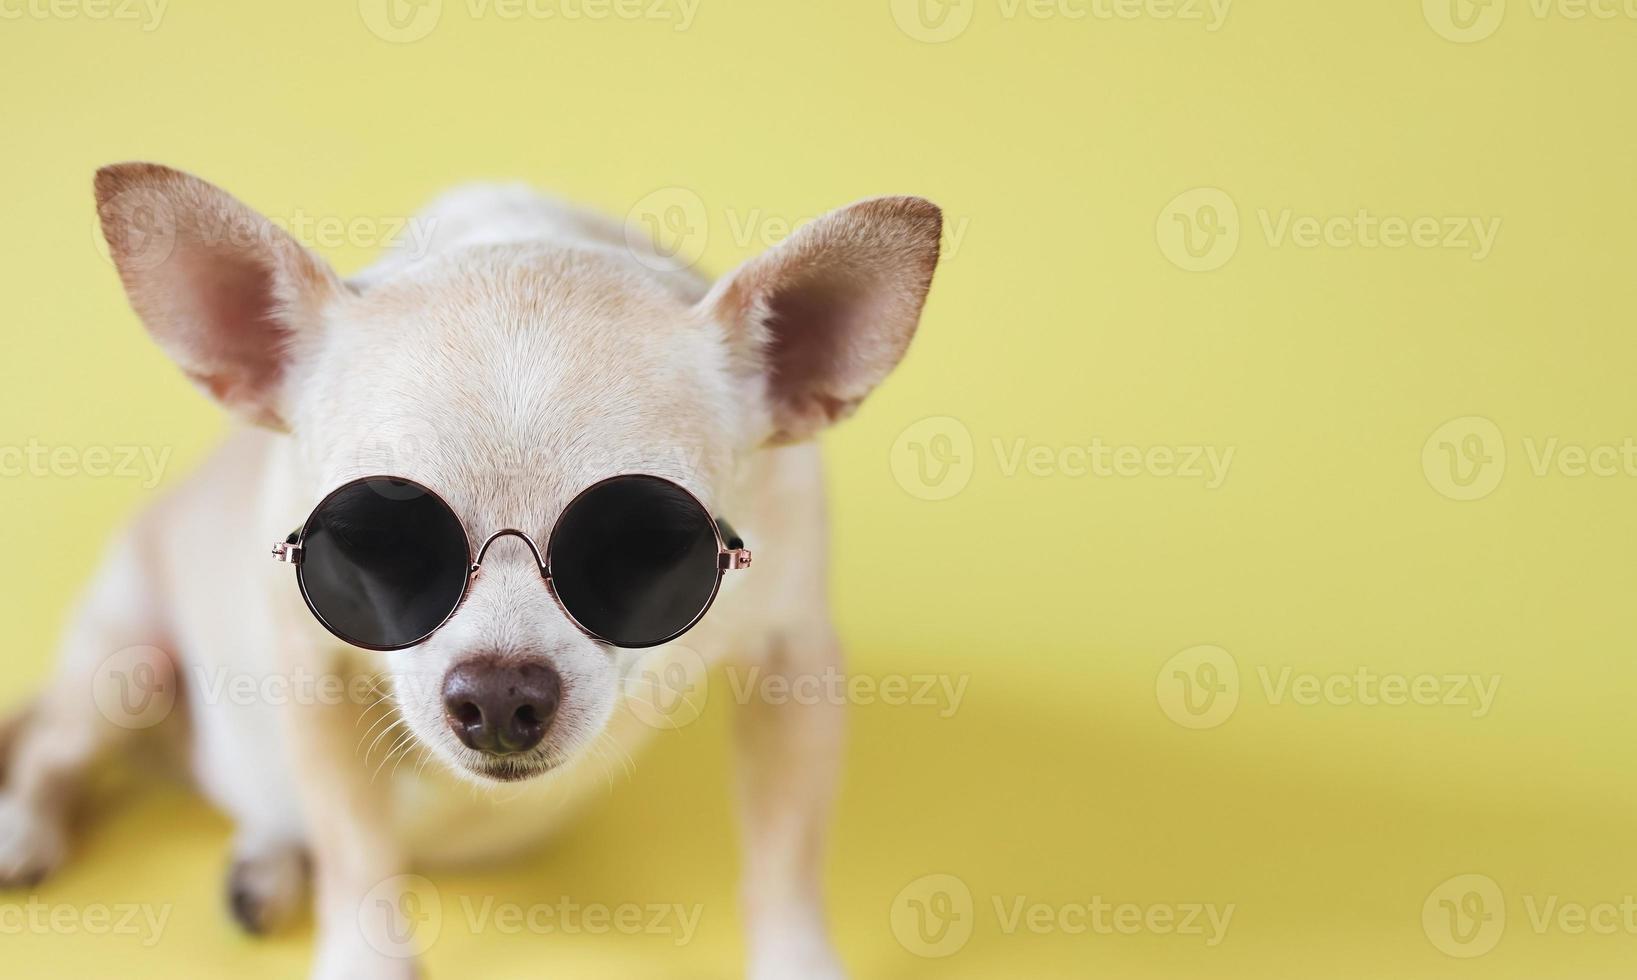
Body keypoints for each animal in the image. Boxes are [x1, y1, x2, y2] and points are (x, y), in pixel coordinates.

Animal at [0, 165, 942, 975]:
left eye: (647, 546)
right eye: (370, 541)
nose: (497, 696)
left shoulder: (793, 667)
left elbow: (786, 862)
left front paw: (797, 964)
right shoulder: (308, 677)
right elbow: (359, 857)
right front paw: (366, 967)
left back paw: (265, 862)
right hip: (123, 666)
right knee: (58, 746)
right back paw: (24, 829)